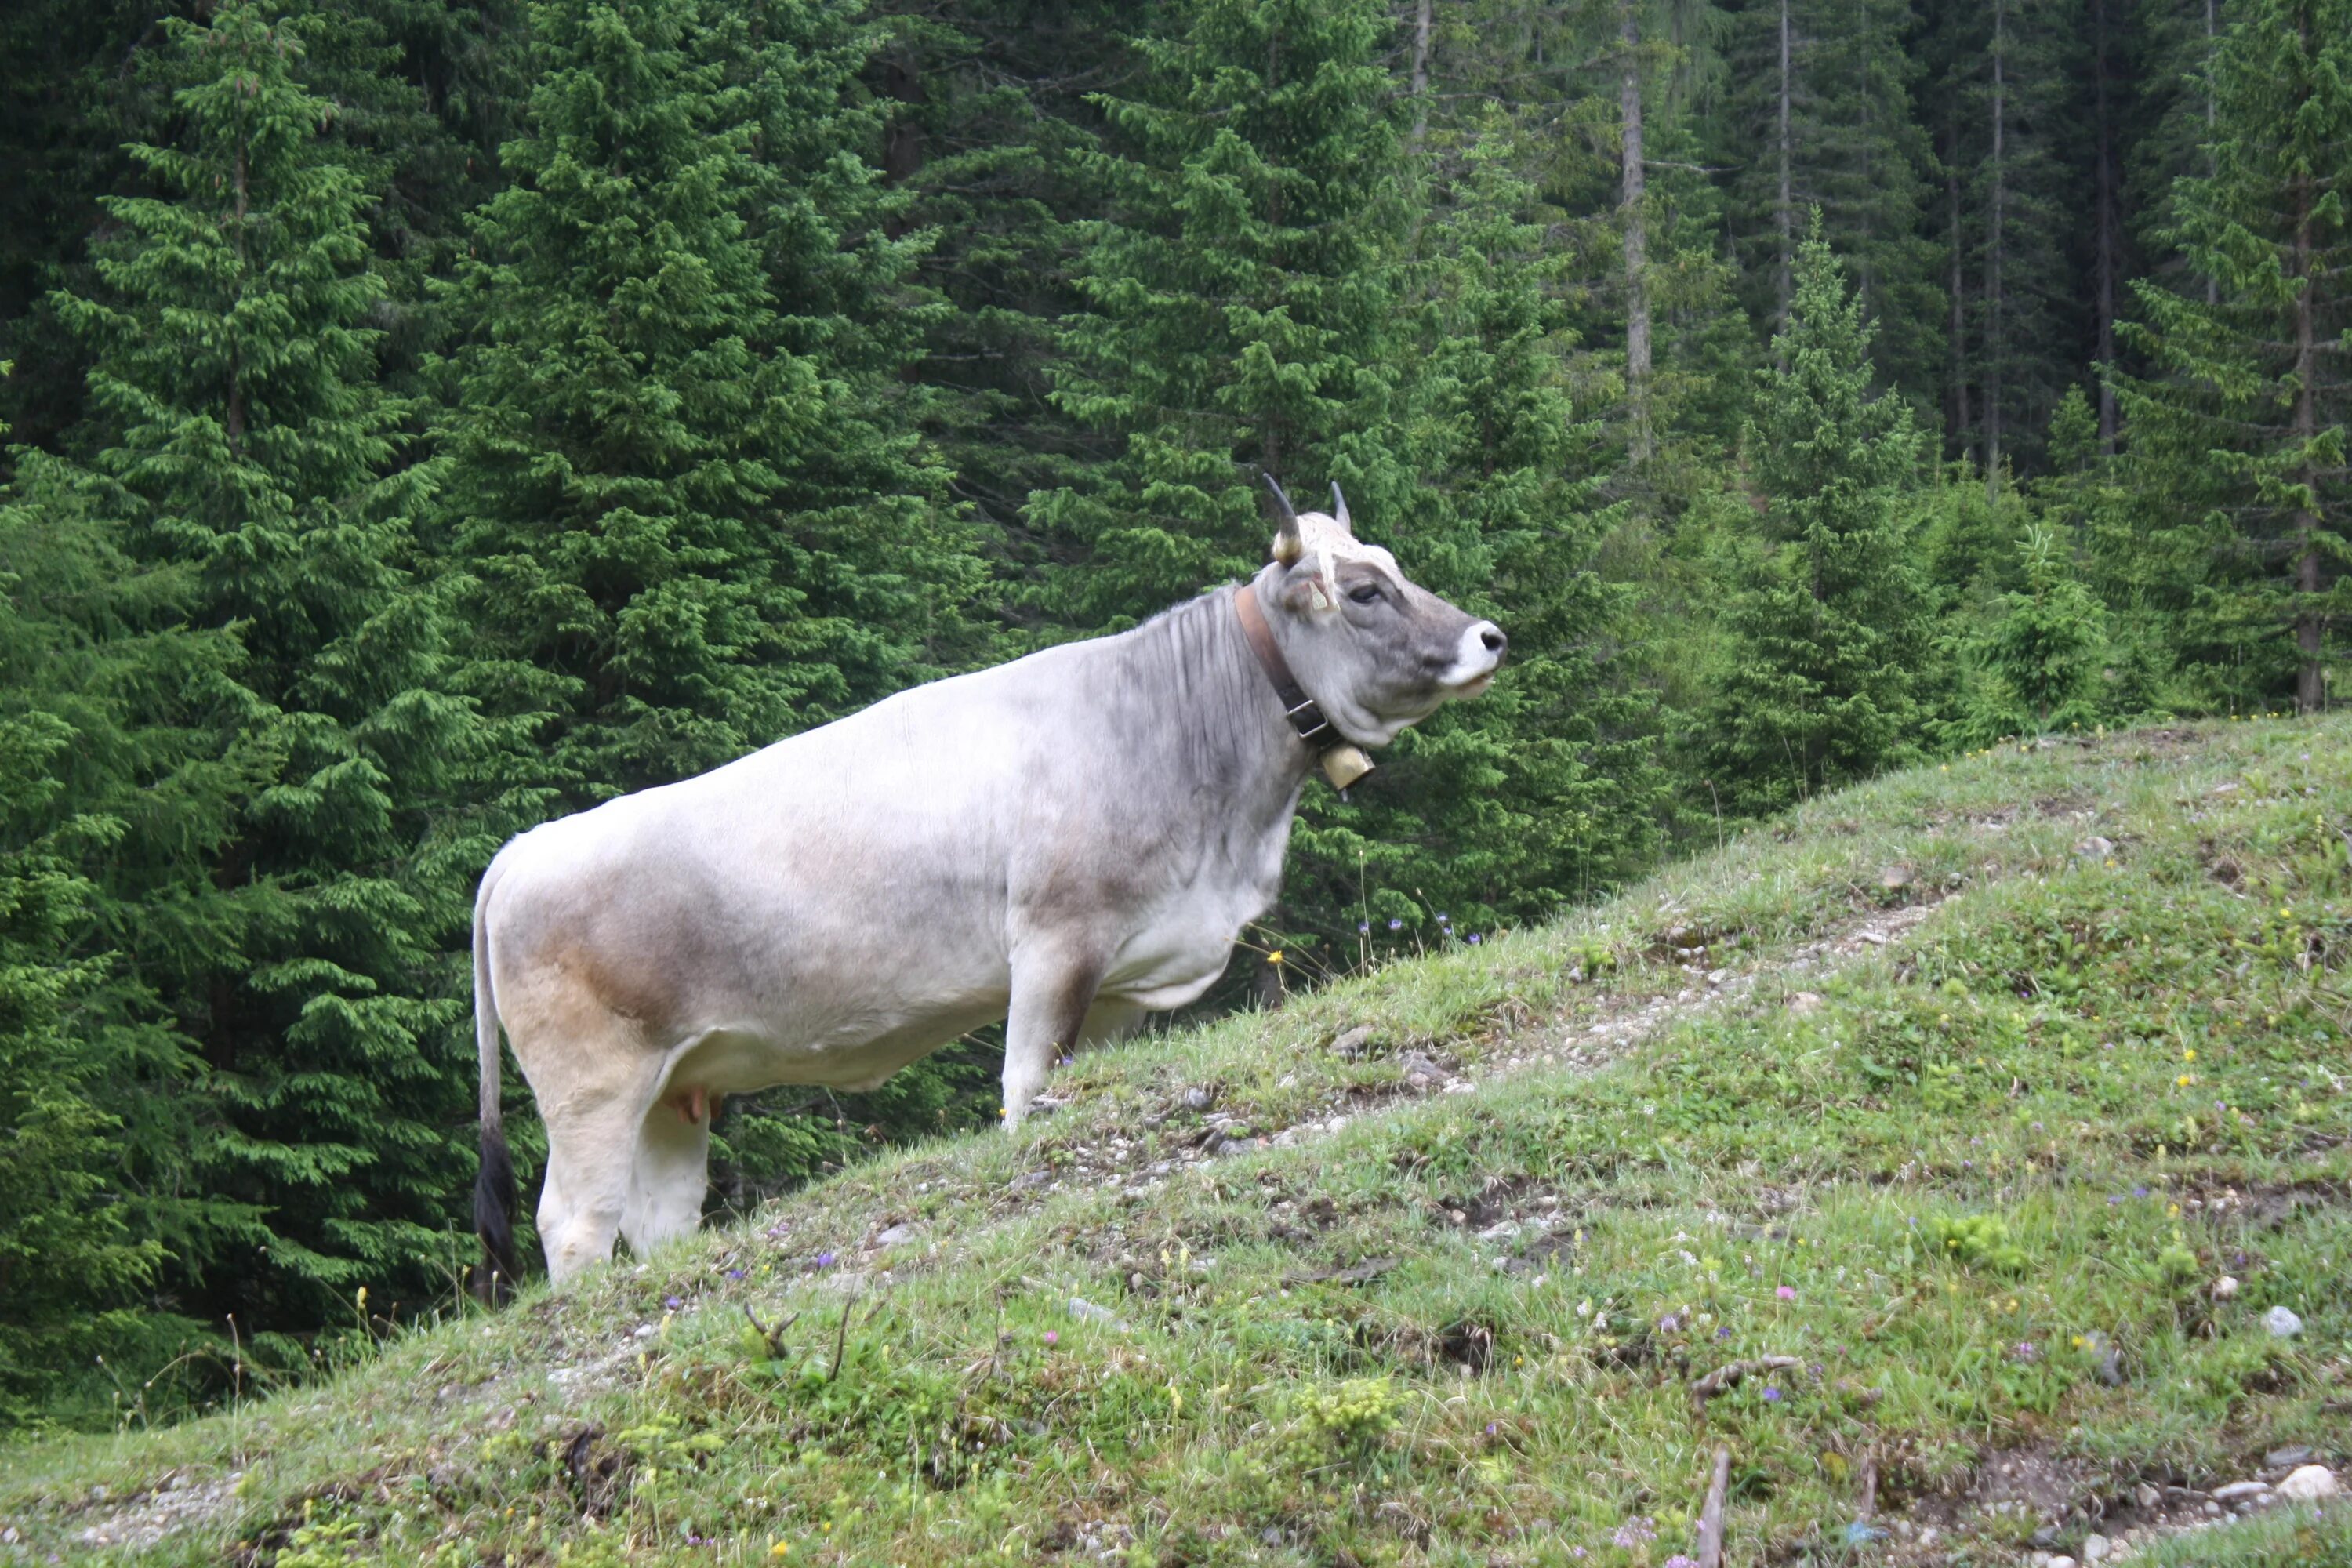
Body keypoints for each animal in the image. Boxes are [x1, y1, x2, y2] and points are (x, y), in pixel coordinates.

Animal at [473, 484, 1505, 1298]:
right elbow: (1025, 1087)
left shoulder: (1120, 979)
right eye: (1366, 590)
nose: (1489, 636)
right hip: (594, 1083)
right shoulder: (1055, 941)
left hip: (673, 1085)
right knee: (576, 1220)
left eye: (1395, 567)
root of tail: (526, 847)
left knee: (659, 1218)